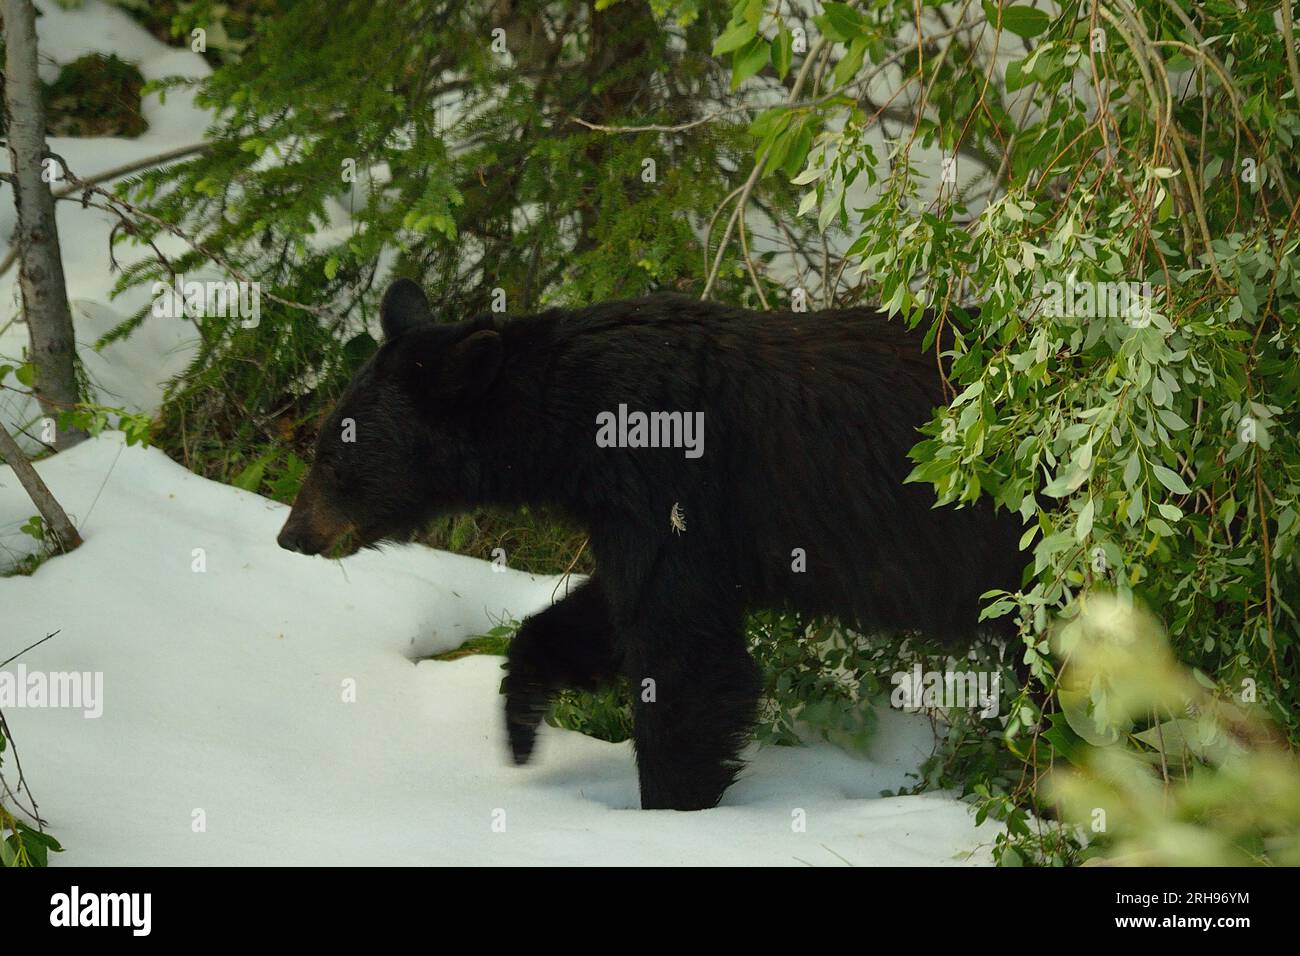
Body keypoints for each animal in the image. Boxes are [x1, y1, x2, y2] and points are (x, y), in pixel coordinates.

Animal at [277, 278, 1025, 811]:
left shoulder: (670, 482)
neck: (574, 422)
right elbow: (608, 610)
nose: (291, 534)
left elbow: (683, 654)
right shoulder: (633, 512)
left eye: (337, 455)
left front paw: (671, 807)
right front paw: (521, 723)